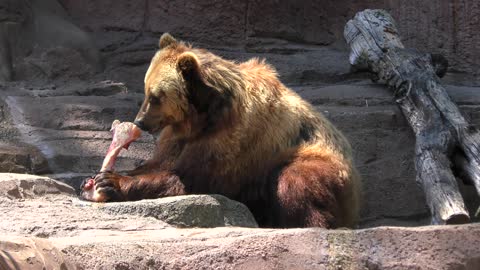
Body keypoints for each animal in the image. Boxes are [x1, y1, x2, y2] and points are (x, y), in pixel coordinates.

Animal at [82, 33, 360, 228]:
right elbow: (159, 162)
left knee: (294, 182)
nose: (140, 122)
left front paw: (110, 182)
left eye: (156, 96)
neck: (204, 116)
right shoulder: (178, 136)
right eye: (146, 90)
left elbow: (190, 178)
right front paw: (96, 177)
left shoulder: (231, 139)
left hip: (315, 161)